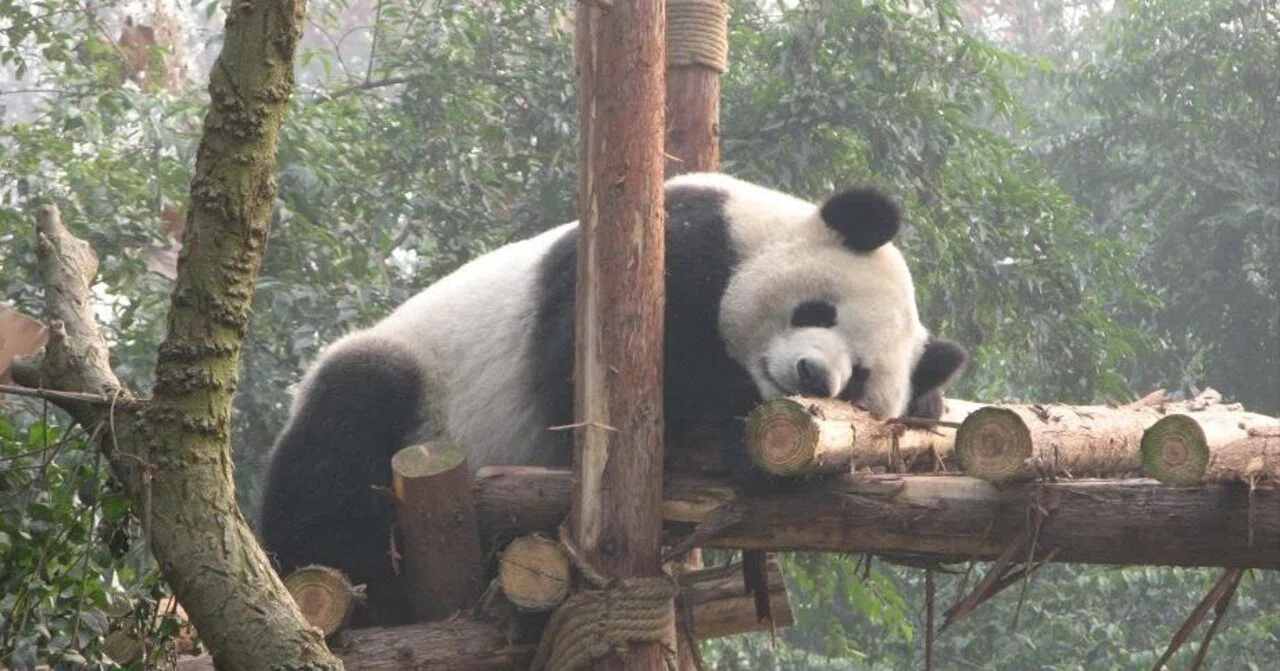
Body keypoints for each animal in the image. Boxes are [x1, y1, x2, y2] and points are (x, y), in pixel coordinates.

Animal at [257, 173, 967, 624]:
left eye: (860, 379)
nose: (814, 377)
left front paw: (927, 402)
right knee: (345, 427)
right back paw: (355, 579)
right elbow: (588, 379)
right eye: (816, 310)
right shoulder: (671, 245)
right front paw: (729, 422)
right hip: (422, 387)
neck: (757, 228)